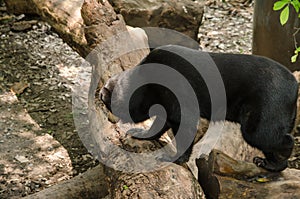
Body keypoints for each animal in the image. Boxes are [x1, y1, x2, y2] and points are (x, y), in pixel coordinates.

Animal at [99, 44, 296, 172]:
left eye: (107, 101)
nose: (100, 96)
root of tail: (295, 86)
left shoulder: (178, 95)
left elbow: (184, 126)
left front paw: (173, 158)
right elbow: (161, 123)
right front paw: (139, 134)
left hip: (264, 110)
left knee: (268, 136)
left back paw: (275, 162)